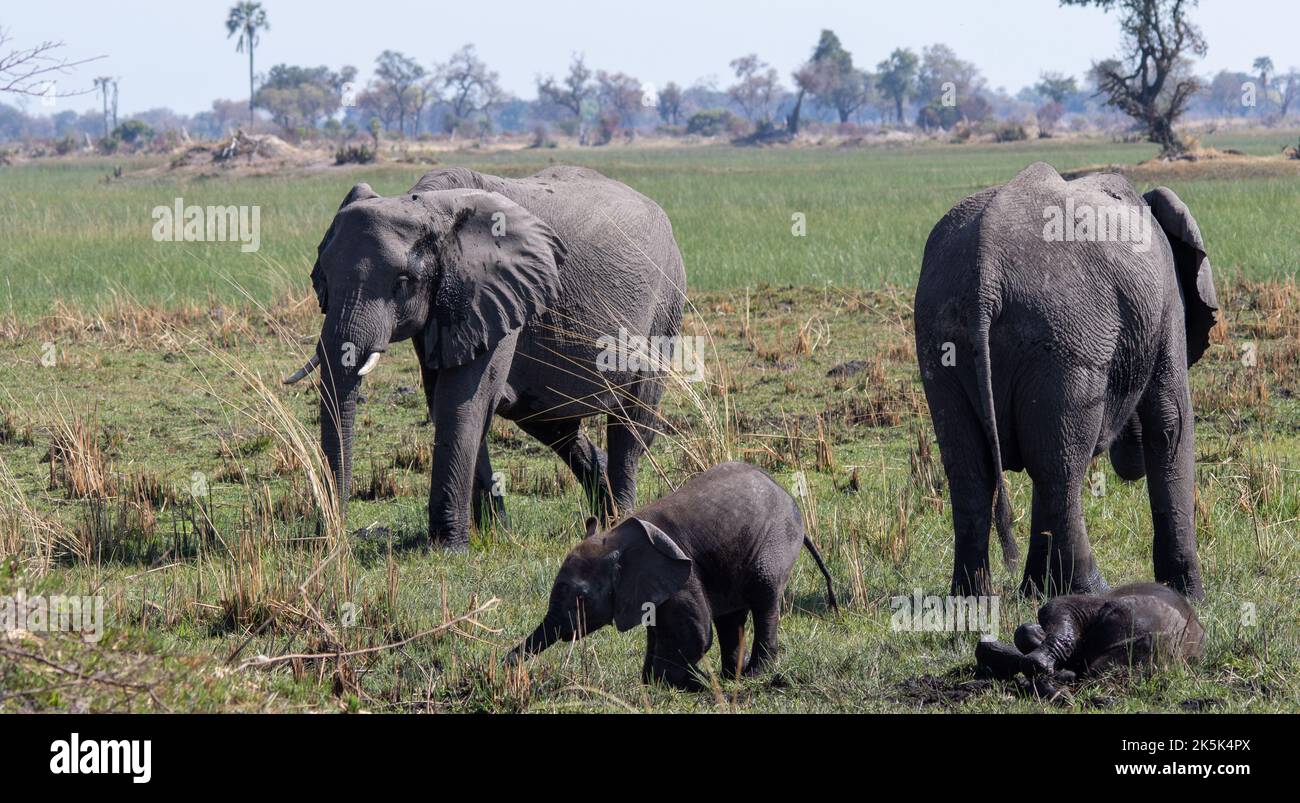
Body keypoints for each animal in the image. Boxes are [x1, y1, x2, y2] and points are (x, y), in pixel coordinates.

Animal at [283, 165, 686, 548]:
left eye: (403, 282)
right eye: (323, 278)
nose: (328, 539)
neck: (429, 206)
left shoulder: (498, 293)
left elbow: (462, 401)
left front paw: (448, 548)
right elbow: (447, 400)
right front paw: (493, 536)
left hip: (666, 301)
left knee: (631, 424)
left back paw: (622, 518)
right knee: (552, 424)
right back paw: (601, 512)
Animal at [501, 462, 837, 686]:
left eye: (581, 598)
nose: (504, 664)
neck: (616, 540)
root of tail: (788, 496)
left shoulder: (682, 576)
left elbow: (694, 634)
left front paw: (675, 683)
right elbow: (661, 629)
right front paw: (660, 681)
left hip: (775, 542)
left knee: (764, 598)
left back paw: (753, 675)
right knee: (731, 616)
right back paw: (732, 678)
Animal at [915, 162, 1216, 597]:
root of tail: (984, 278)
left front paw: (1035, 591)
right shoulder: (1168, 303)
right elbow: (1170, 422)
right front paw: (1188, 594)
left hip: (941, 334)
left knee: (976, 468)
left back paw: (972, 598)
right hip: (1064, 334)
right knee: (1061, 466)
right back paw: (1093, 591)